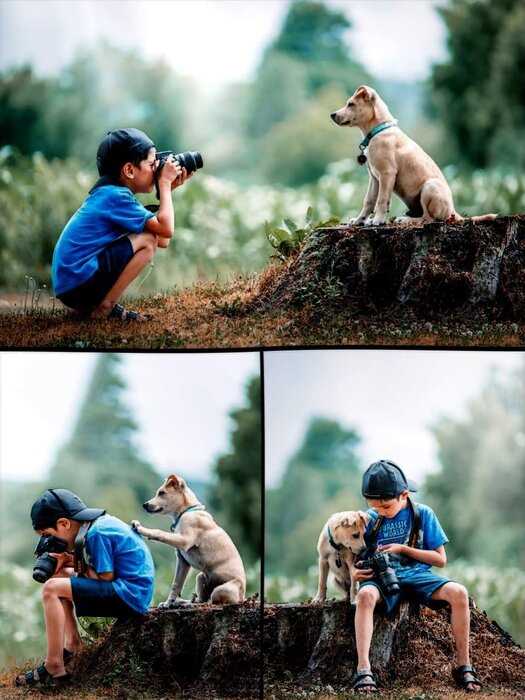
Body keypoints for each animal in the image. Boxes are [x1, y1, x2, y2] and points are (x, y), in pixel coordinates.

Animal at [131, 476, 246, 608]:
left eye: (162, 493)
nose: (144, 505)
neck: (187, 511)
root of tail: (243, 597)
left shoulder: (184, 540)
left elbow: (160, 533)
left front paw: (141, 528)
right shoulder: (183, 561)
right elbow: (176, 584)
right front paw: (168, 603)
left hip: (222, 589)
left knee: (211, 601)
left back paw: (190, 604)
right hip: (201, 577)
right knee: (202, 599)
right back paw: (184, 602)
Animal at [330, 84, 494, 227]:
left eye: (351, 104)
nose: (332, 115)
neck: (378, 130)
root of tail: (453, 211)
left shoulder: (387, 174)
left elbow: (382, 200)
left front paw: (377, 220)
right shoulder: (375, 178)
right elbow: (369, 201)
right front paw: (359, 220)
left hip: (429, 187)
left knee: (428, 218)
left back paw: (404, 220)